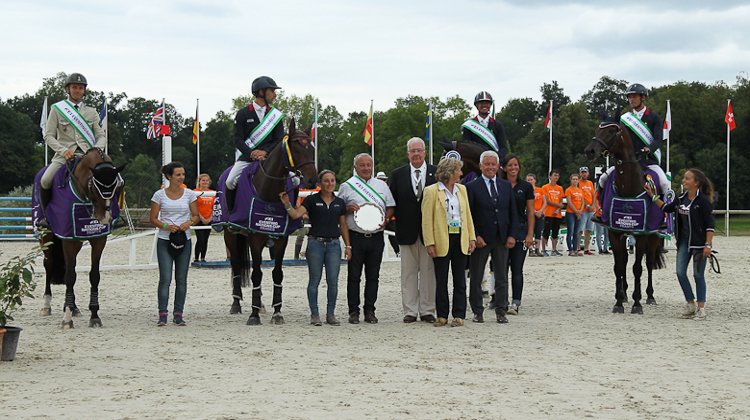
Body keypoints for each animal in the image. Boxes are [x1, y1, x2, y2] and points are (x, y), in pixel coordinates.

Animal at [36, 148, 127, 328]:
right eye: (95, 186)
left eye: (117, 187)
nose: (105, 218)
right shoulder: (67, 238)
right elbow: (69, 276)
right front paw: (67, 319)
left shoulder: (98, 239)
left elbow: (94, 276)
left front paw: (94, 316)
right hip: (47, 237)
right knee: (49, 265)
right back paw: (46, 306)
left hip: (76, 242)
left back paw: (73, 307)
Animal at [223, 117, 318, 324]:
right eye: (296, 149)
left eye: (312, 148)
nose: (313, 180)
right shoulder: (255, 238)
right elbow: (256, 274)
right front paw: (253, 315)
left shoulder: (281, 239)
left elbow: (277, 273)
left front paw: (277, 312)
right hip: (231, 236)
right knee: (236, 265)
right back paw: (236, 304)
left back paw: (261, 304)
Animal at [584, 106, 668, 314]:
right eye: (597, 129)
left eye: (612, 131)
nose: (590, 151)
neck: (628, 185)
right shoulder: (615, 232)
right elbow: (619, 266)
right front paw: (618, 302)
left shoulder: (642, 234)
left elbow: (638, 268)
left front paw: (637, 304)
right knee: (625, 262)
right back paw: (624, 293)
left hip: (653, 236)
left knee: (649, 262)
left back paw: (649, 296)